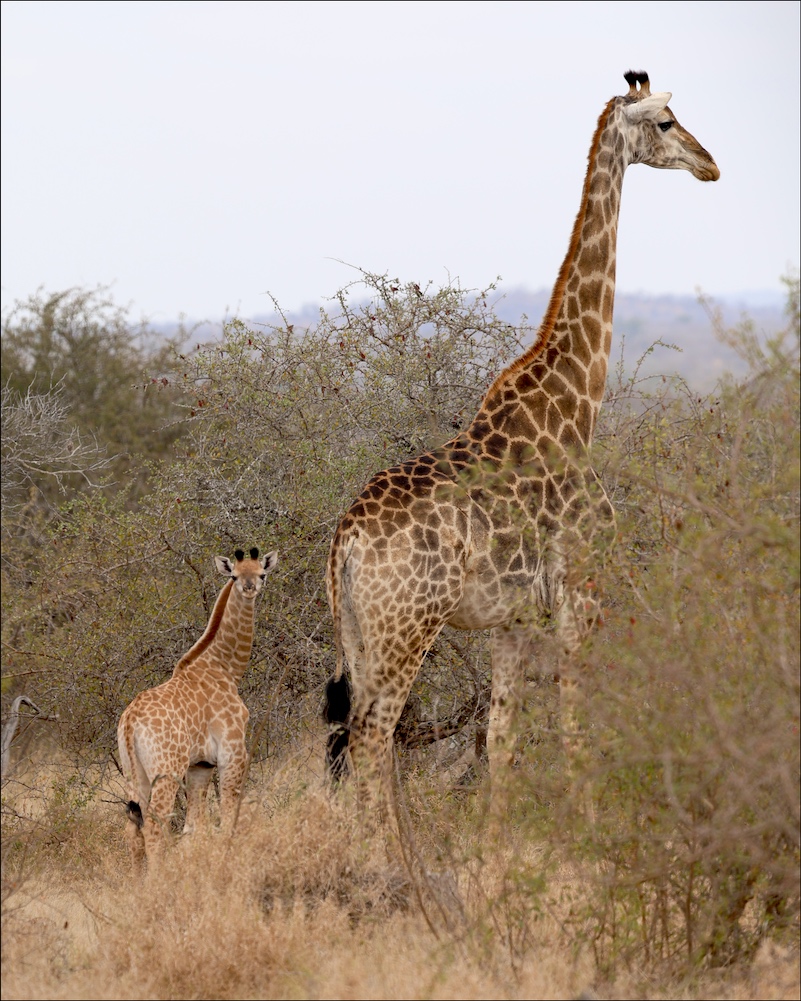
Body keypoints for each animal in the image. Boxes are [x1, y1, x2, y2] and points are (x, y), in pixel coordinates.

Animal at [117, 547, 278, 870]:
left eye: (262, 574)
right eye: (234, 576)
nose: (249, 588)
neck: (225, 667)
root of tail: (129, 722)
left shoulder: (200, 766)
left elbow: (194, 827)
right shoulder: (232, 753)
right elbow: (228, 817)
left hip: (134, 773)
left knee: (133, 828)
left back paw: (136, 880)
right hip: (166, 771)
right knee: (155, 824)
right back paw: (158, 878)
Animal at [324, 71, 719, 815]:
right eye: (665, 121)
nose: (710, 163)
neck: (576, 402)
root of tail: (345, 542)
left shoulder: (511, 620)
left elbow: (501, 743)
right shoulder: (581, 593)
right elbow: (576, 735)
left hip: (357, 634)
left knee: (356, 744)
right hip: (407, 628)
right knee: (370, 741)